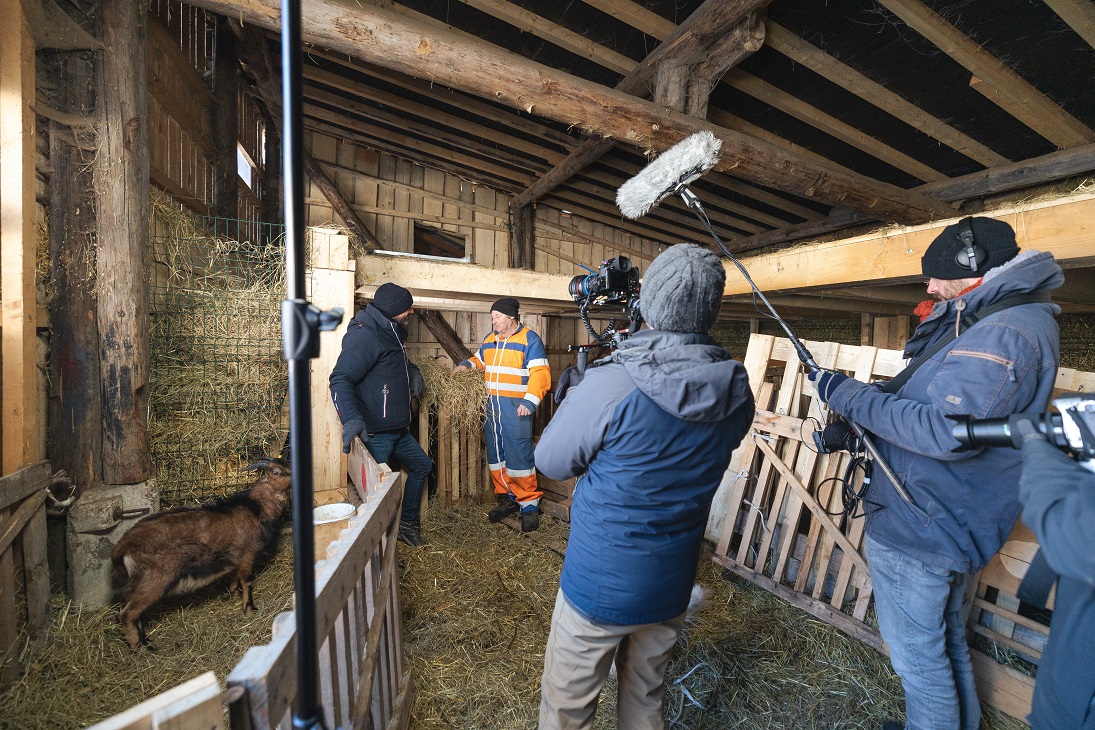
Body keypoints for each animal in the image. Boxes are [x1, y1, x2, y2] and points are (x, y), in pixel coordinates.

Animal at [108, 457, 293, 652]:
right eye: (276, 472)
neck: (256, 507)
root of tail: (121, 547)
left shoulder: (237, 554)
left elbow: (235, 576)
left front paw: (232, 594)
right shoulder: (249, 551)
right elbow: (247, 580)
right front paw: (249, 609)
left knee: (134, 609)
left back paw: (146, 641)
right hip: (155, 579)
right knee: (128, 613)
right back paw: (139, 647)